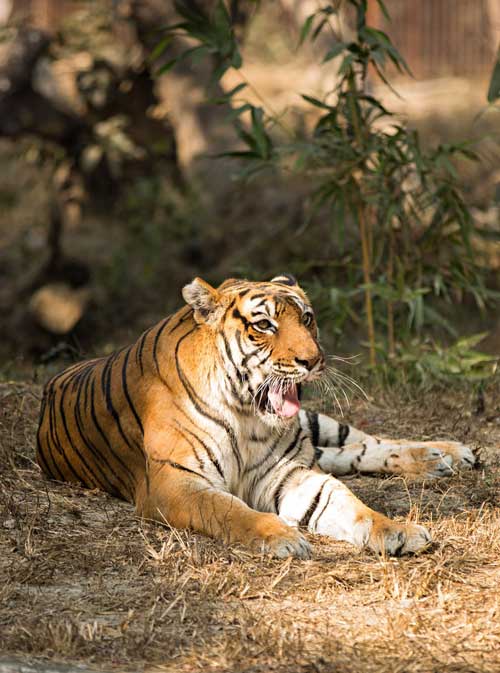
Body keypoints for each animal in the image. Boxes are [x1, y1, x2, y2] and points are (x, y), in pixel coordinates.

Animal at [36, 275, 477, 559]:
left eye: (307, 318)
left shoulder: (287, 471)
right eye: (264, 325)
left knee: (366, 443)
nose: (313, 360)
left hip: (314, 425)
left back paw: (445, 453)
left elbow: (345, 501)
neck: (246, 414)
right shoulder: (173, 482)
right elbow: (228, 508)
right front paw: (281, 537)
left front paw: (397, 530)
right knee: (343, 454)